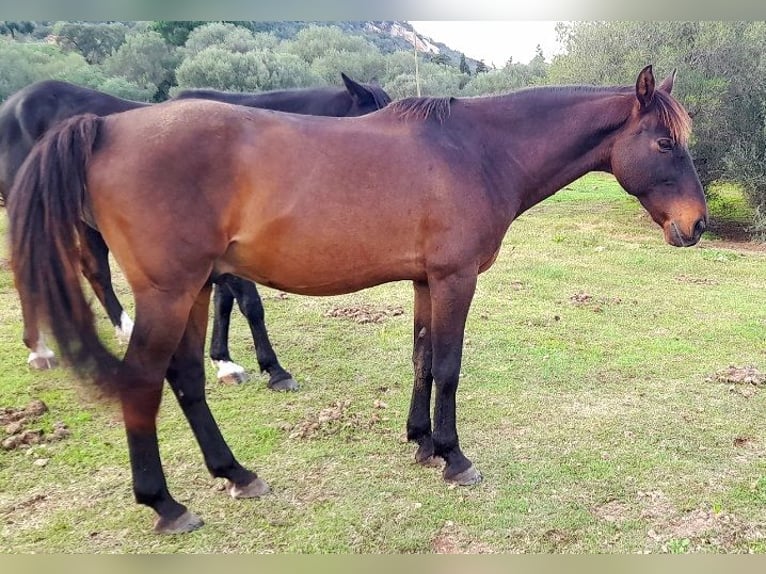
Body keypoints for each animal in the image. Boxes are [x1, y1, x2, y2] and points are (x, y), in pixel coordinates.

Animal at [0, 72, 392, 392]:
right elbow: (249, 304)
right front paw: (274, 369)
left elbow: (223, 302)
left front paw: (224, 361)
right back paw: (39, 350)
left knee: (95, 270)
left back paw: (123, 331)